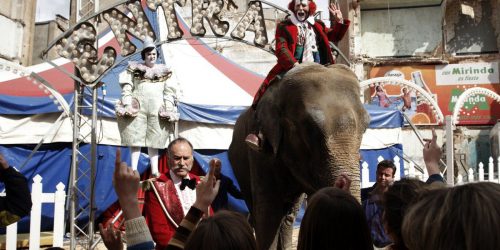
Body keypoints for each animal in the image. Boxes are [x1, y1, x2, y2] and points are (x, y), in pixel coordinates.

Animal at [229, 63, 370, 250]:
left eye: (366, 126)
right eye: (310, 127)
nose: (343, 181)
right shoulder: (260, 152)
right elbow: (268, 211)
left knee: (289, 215)